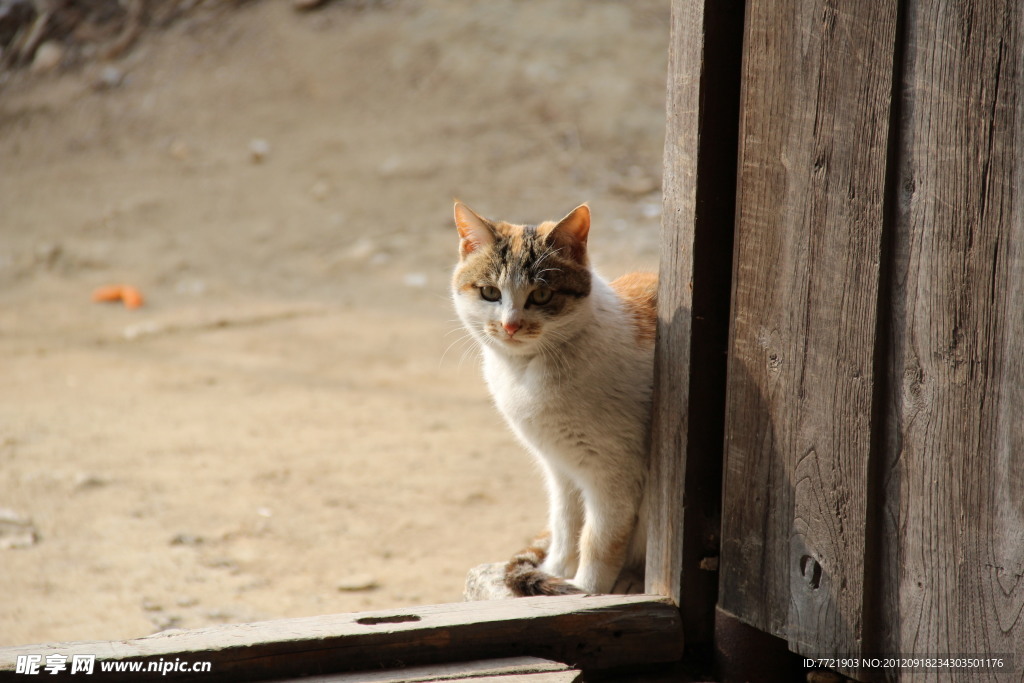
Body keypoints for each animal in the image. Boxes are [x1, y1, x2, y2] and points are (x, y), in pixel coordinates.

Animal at [452, 200, 659, 593]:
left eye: (542, 295)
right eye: (490, 293)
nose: (511, 325)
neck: (527, 371)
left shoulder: (614, 473)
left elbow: (598, 539)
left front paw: (585, 591)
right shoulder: (560, 467)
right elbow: (565, 525)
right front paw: (556, 572)